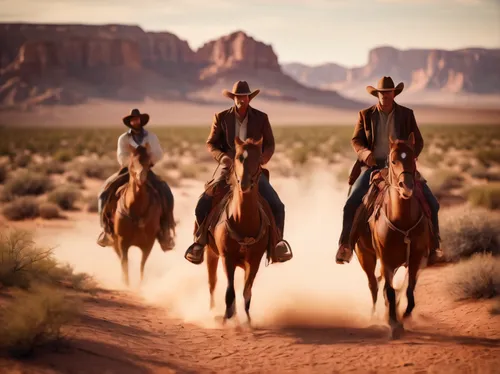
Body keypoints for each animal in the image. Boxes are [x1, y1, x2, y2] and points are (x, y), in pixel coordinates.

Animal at [112, 144, 163, 286]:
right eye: (131, 162)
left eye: (149, 164)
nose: (141, 178)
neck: (137, 210)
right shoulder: (122, 242)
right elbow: (125, 262)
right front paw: (127, 284)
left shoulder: (148, 244)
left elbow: (142, 265)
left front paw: (140, 286)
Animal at [206, 137, 278, 324]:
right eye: (238, 157)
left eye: (258, 158)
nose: (244, 183)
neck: (243, 221)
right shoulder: (227, 258)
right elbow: (230, 292)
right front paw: (226, 319)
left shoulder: (254, 261)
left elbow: (247, 292)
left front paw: (247, 321)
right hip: (211, 252)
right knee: (212, 282)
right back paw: (213, 311)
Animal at [354, 133, 432, 338]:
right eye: (394, 160)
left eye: (412, 158)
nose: (407, 186)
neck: (402, 220)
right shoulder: (386, 259)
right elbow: (389, 290)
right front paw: (393, 323)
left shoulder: (415, 258)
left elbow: (409, 289)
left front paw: (404, 315)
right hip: (366, 256)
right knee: (373, 285)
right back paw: (374, 316)